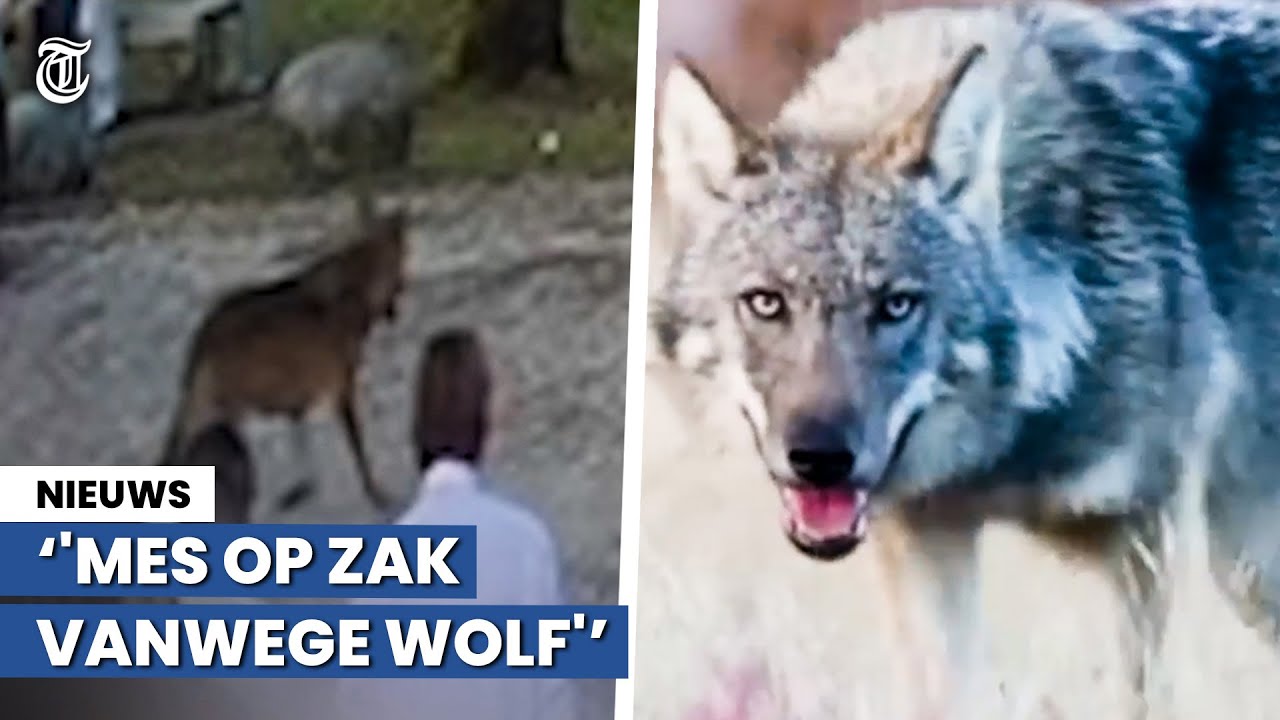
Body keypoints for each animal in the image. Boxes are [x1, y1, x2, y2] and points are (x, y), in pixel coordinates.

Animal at [159, 197, 408, 511]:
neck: (355, 294)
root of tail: (205, 331)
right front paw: (377, 496)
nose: (402, 291)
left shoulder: (298, 400)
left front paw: (302, 488)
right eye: (402, 261)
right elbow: (359, 452)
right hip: (224, 410)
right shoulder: (342, 390)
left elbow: (301, 443)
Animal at [655, 0, 1280, 714]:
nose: (820, 460)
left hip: (1240, 567)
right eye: (765, 303)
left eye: (897, 305)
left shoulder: (1144, 536)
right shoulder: (925, 534)